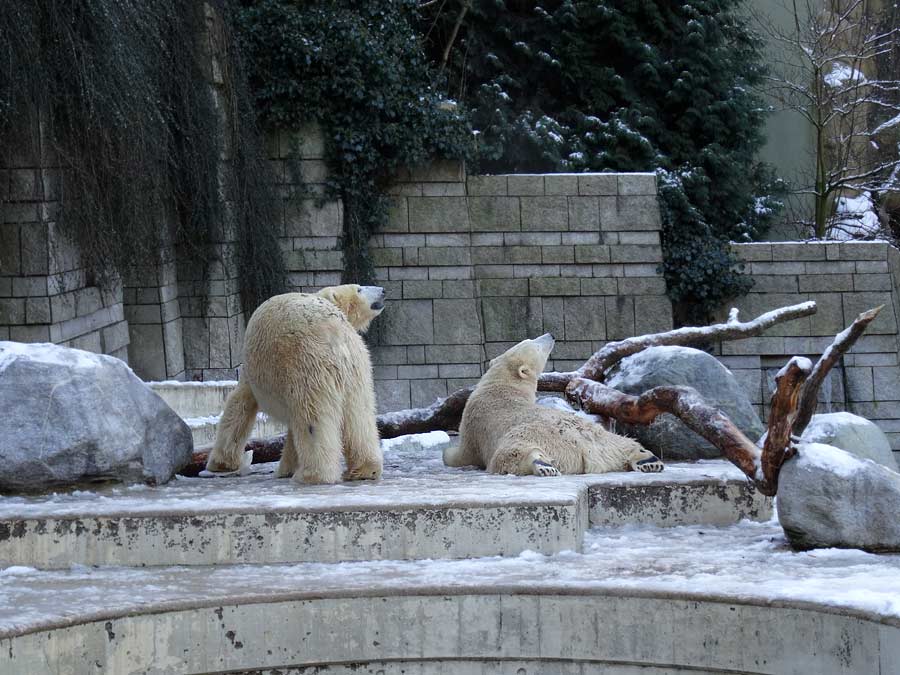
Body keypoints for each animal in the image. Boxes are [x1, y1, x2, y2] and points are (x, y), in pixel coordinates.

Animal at [206, 286, 384, 486]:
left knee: (312, 417)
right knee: (359, 412)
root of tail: (338, 333)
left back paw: (312, 475)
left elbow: (239, 404)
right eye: (359, 288)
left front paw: (220, 463)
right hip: (355, 367)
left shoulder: (256, 375)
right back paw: (366, 469)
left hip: (307, 361)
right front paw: (286, 468)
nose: (383, 291)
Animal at [442, 332, 660, 476]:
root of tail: (585, 450)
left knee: (509, 454)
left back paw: (541, 464)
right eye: (534, 343)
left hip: (534, 435)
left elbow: (460, 454)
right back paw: (648, 460)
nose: (551, 335)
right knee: (623, 442)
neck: (501, 385)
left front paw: (450, 454)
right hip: (601, 438)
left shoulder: (473, 423)